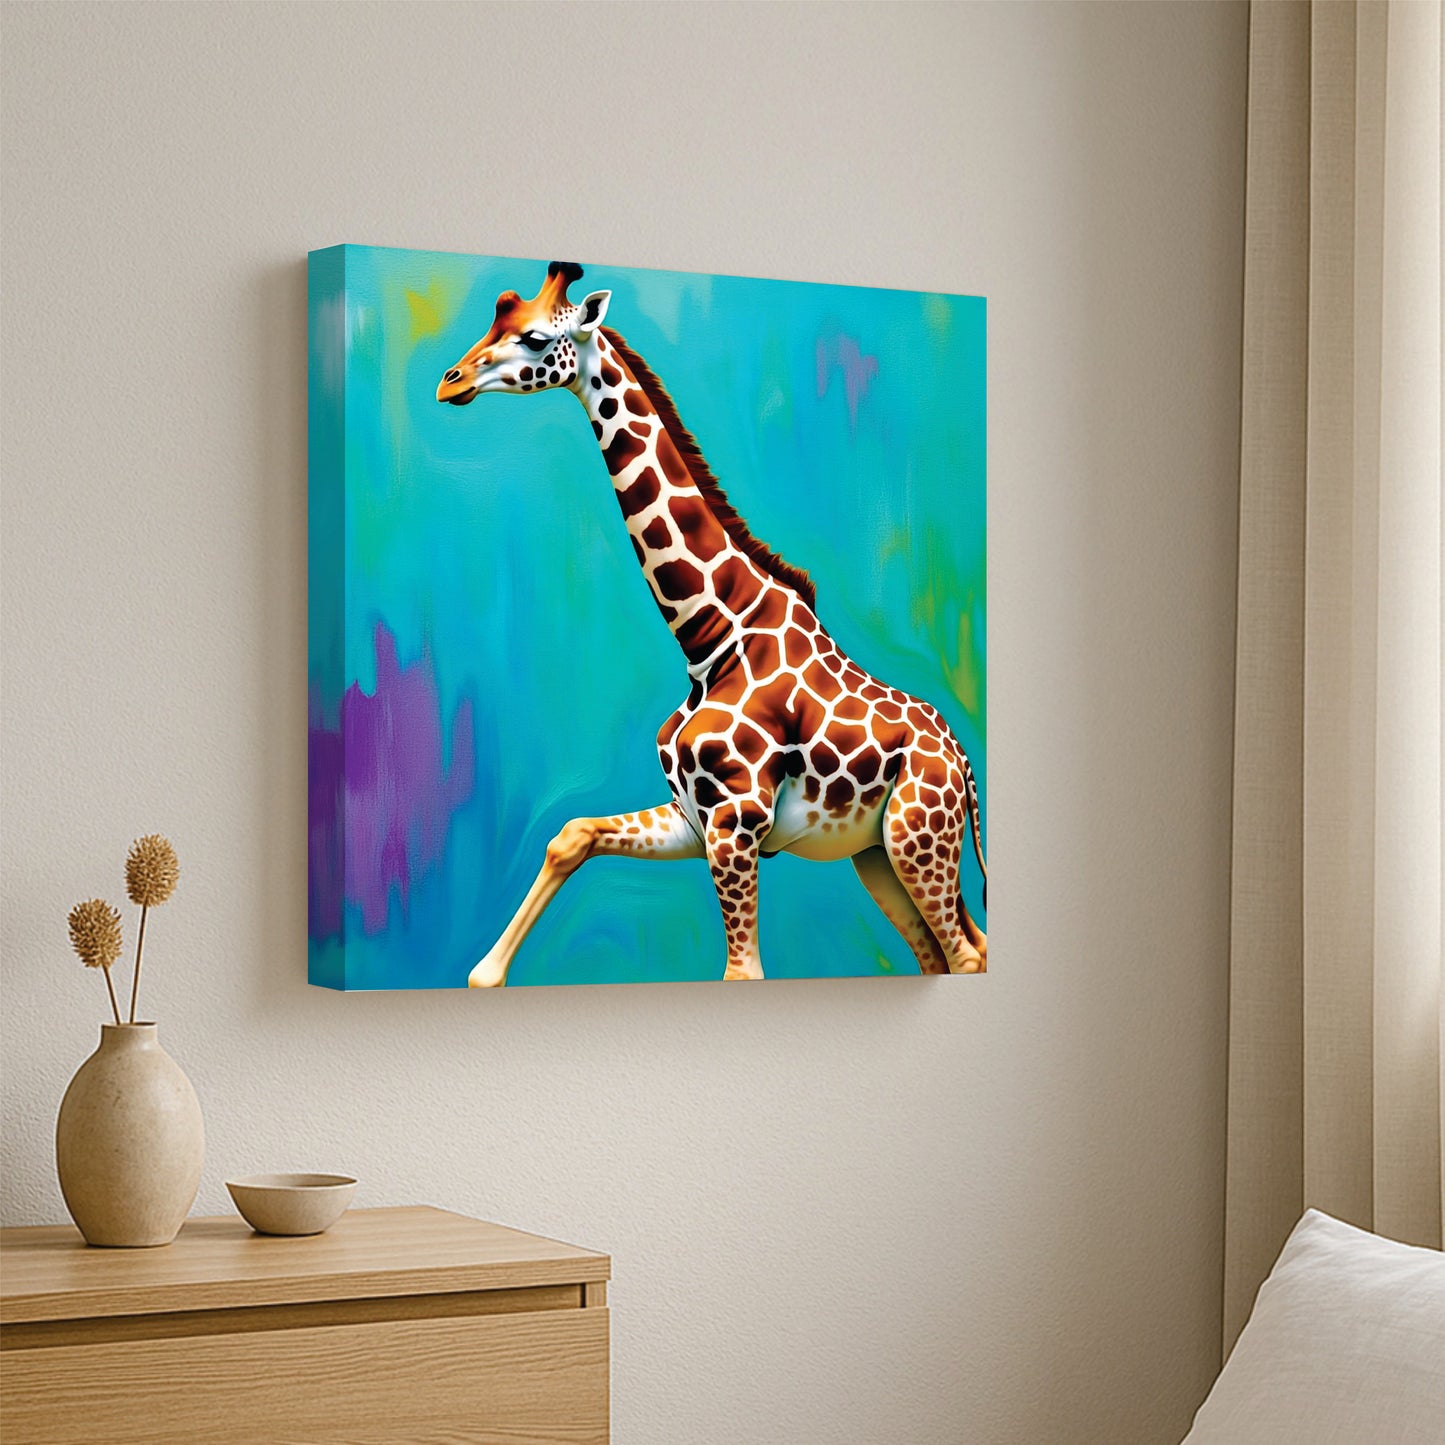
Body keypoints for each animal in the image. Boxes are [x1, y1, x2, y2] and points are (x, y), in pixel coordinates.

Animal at [438, 261, 987, 986]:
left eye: (532, 336)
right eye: (492, 321)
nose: (450, 381)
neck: (709, 638)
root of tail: (962, 761)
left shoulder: (736, 823)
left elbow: (742, 971)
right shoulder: (692, 819)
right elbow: (570, 834)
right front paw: (484, 973)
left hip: (916, 836)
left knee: (966, 953)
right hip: (876, 855)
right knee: (947, 952)